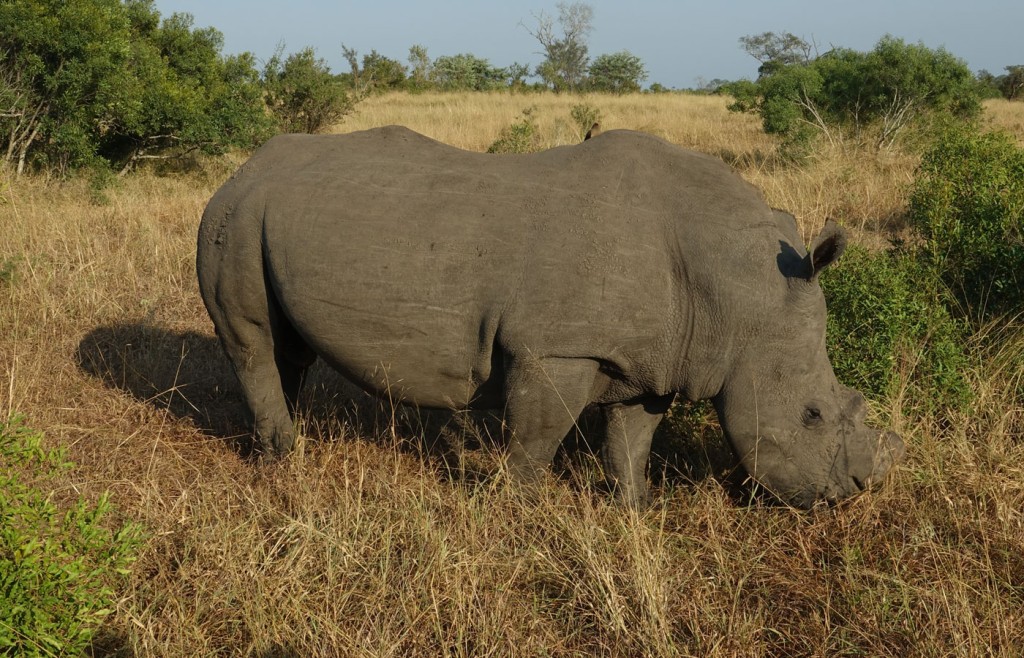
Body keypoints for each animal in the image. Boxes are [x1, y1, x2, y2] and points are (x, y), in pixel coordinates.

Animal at [197, 128, 905, 509]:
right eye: (811, 415)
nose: (852, 492)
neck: (733, 292)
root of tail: (243, 166)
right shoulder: (557, 348)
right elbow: (537, 440)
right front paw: (520, 512)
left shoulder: (652, 358)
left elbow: (631, 441)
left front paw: (636, 512)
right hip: (233, 217)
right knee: (254, 341)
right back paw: (282, 460)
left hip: (265, 216)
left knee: (288, 349)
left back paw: (289, 444)